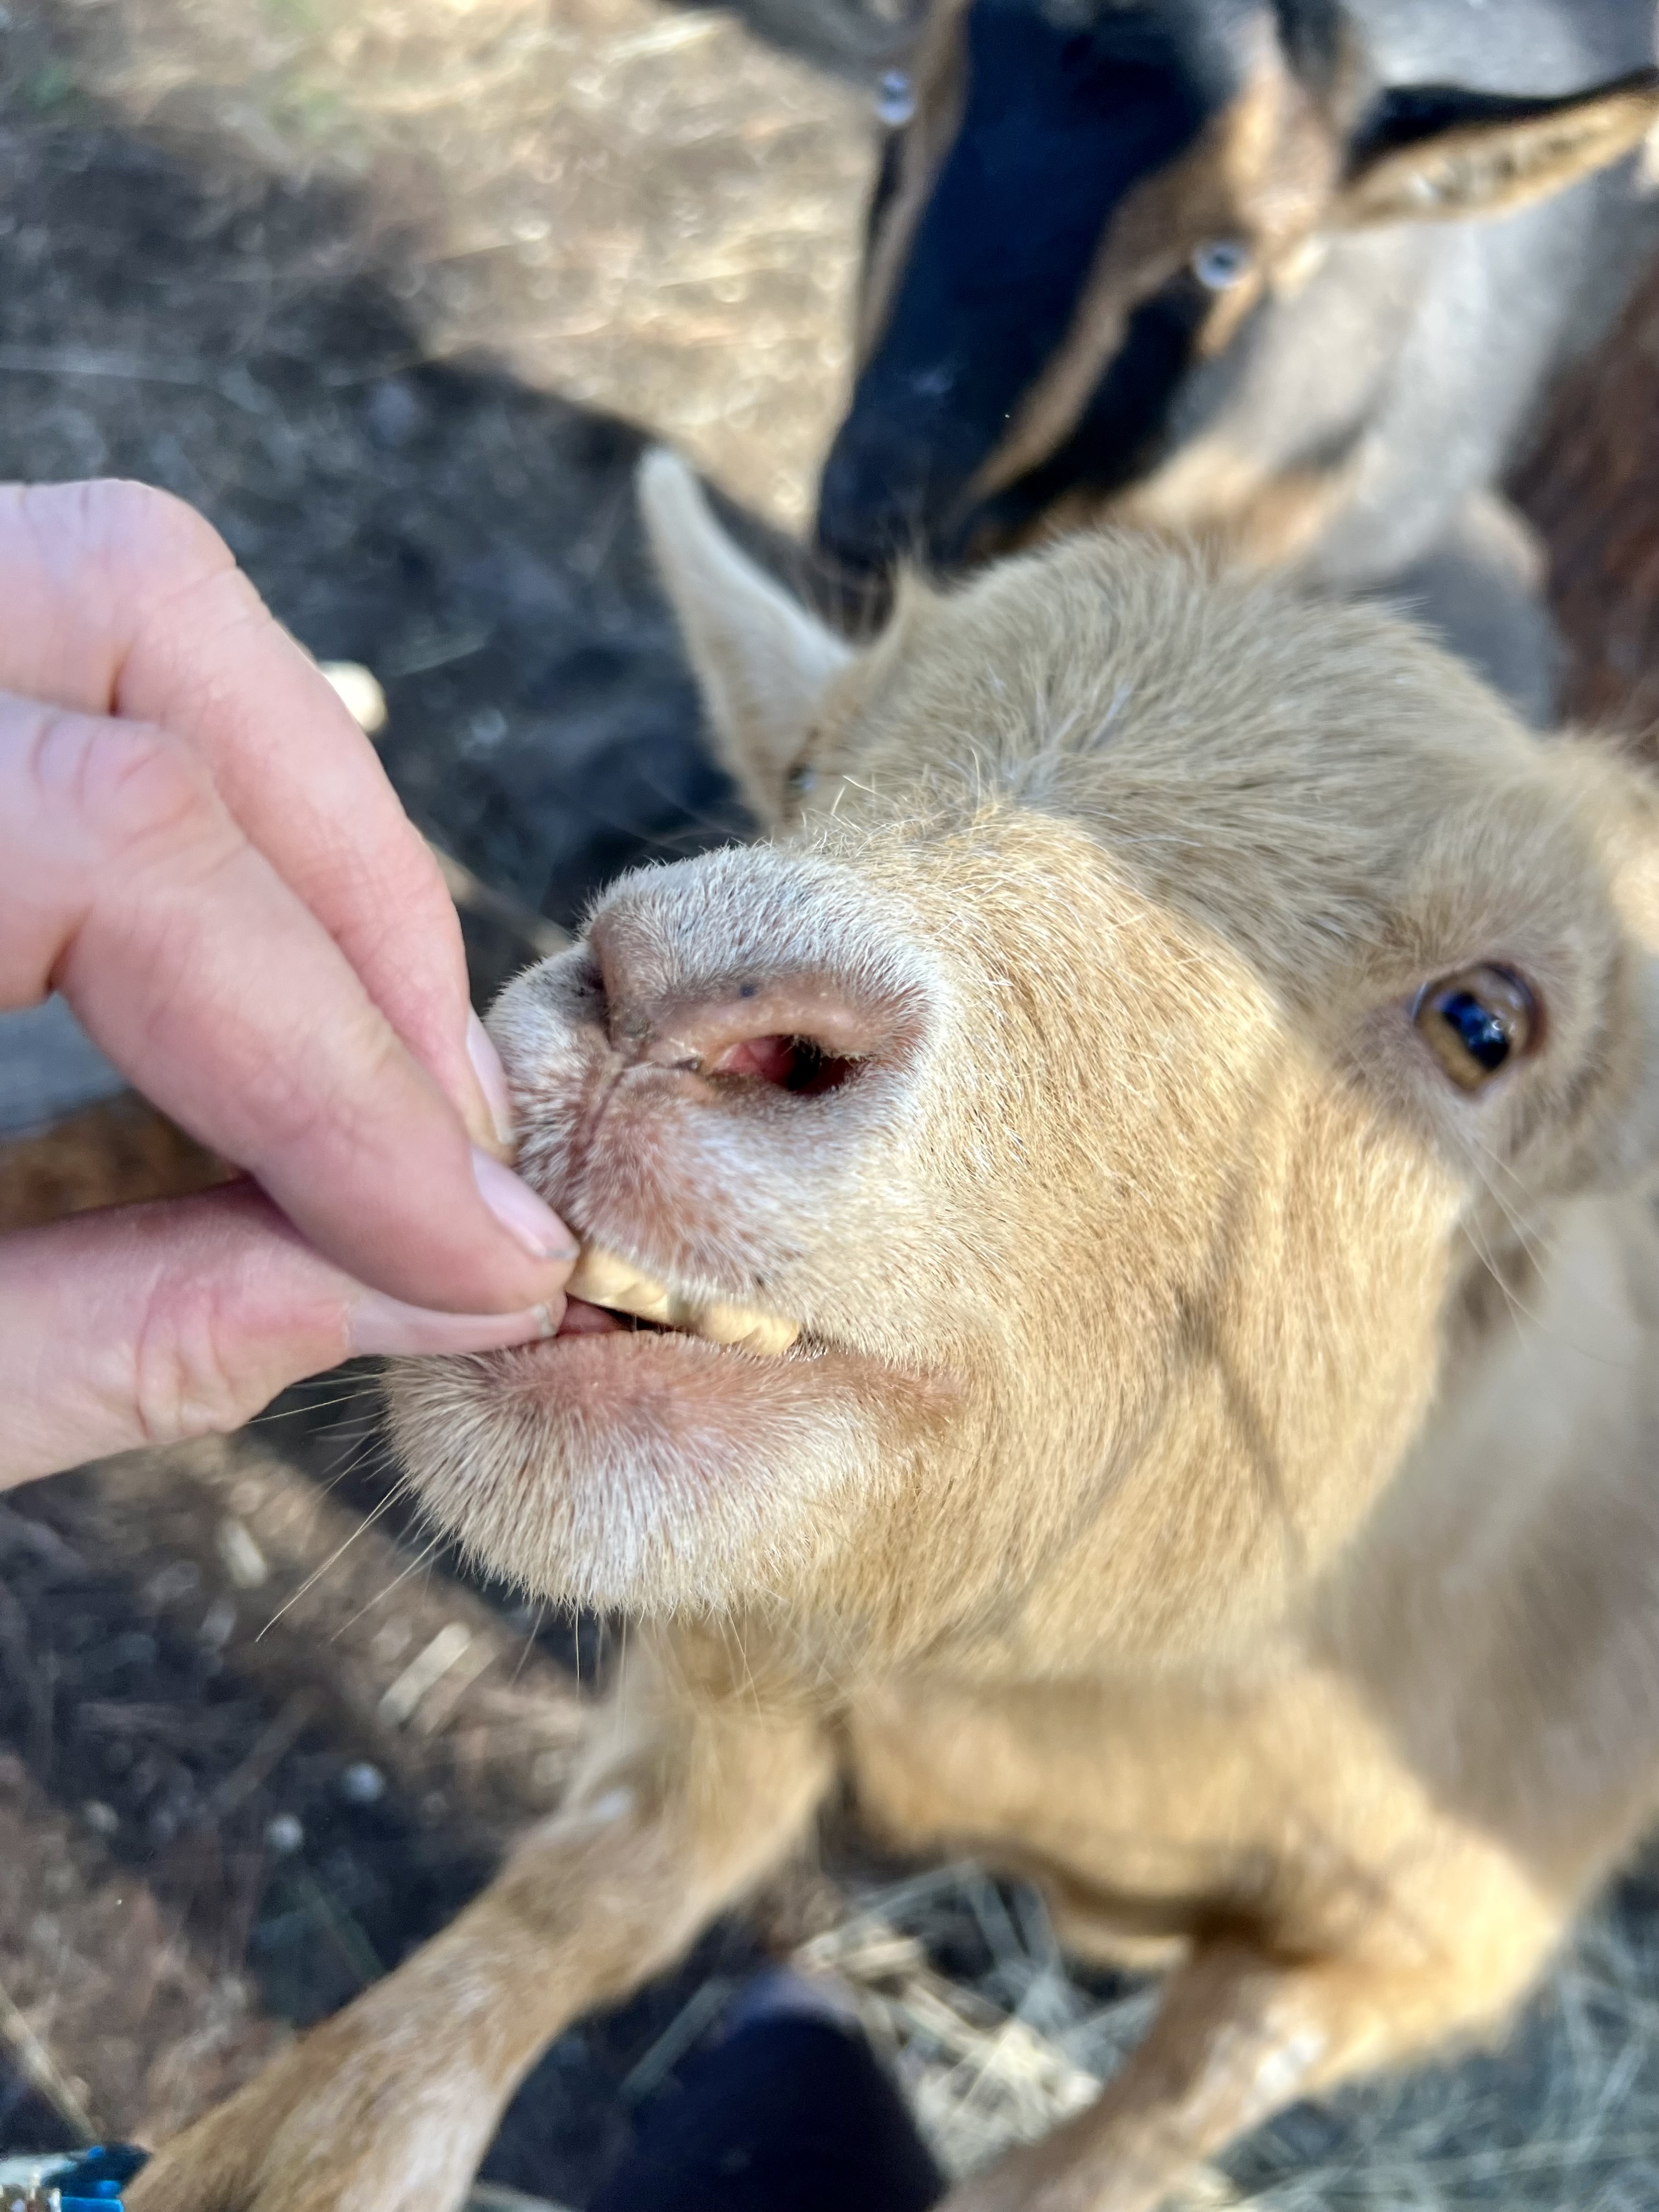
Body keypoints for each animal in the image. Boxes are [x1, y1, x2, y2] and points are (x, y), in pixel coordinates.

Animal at [132, 450, 1659, 2212]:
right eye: (807, 761)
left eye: (1483, 1023)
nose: (682, 998)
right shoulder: (755, 1645)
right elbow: (549, 1933)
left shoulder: (1406, 1958)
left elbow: (1142, 2127)